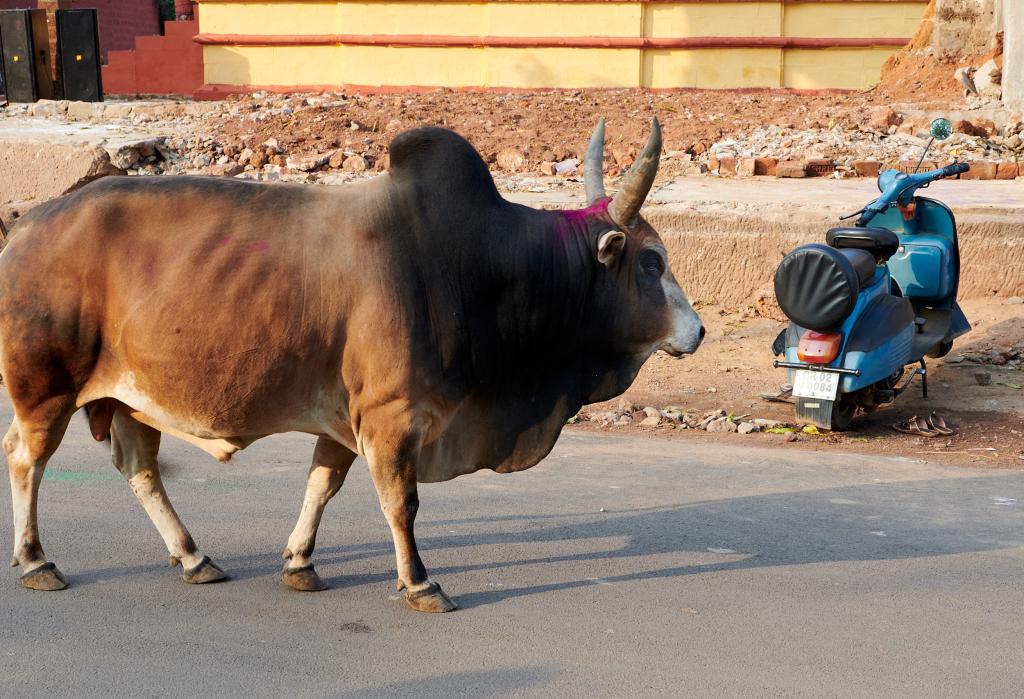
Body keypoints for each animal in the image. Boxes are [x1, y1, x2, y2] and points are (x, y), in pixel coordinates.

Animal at [0, 120, 704, 614]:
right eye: (650, 262)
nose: (697, 331)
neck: (477, 266)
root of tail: (28, 224)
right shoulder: (393, 416)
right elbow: (402, 503)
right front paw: (420, 583)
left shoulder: (344, 418)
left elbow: (322, 485)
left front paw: (300, 564)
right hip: (46, 387)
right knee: (26, 457)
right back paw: (36, 562)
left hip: (130, 396)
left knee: (138, 469)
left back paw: (194, 556)